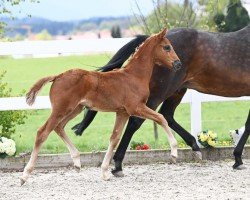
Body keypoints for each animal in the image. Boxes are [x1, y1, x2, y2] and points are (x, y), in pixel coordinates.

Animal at [20, 28, 181, 184]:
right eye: (167, 47)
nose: (178, 64)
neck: (134, 76)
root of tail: (57, 76)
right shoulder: (136, 107)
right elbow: (161, 118)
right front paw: (174, 152)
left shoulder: (122, 112)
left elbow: (114, 138)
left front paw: (104, 172)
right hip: (61, 109)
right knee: (43, 132)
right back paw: (25, 175)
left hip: (75, 109)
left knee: (59, 127)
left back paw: (77, 161)